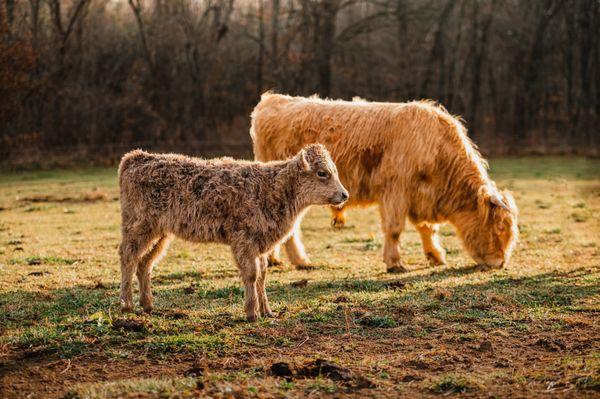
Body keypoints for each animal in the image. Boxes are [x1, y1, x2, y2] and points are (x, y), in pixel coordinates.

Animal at [251, 94, 516, 274]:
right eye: (499, 228)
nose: (499, 263)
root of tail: (273, 99)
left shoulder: (420, 196)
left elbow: (427, 228)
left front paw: (435, 256)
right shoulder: (395, 191)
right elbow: (395, 228)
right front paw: (395, 262)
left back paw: (274, 259)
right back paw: (302, 261)